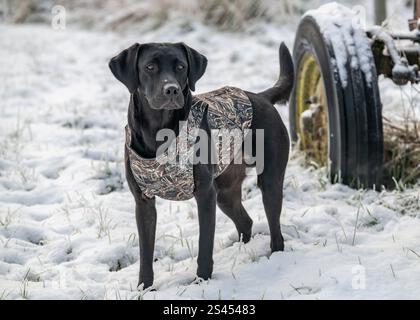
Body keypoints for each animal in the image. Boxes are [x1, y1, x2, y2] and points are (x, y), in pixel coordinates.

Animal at [109, 41, 292, 288]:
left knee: (276, 232)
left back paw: (273, 259)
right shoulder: (143, 202)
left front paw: (202, 280)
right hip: (225, 193)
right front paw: (144, 288)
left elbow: (205, 246)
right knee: (246, 222)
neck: (158, 130)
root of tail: (261, 97)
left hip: (269, 182)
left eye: (181, 67)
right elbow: (145, 253)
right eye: (149, 67)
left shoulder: (205, 195)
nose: (171, 89)